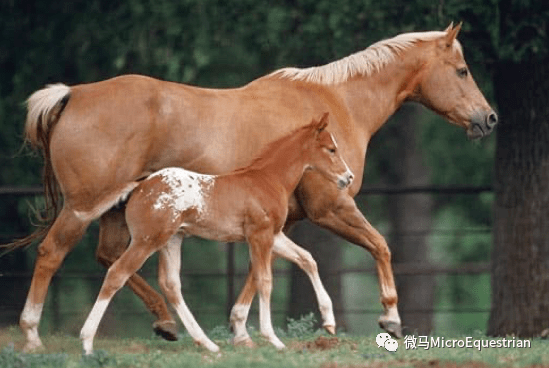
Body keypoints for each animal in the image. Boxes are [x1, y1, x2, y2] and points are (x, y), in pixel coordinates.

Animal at [79, 114, 354, 354]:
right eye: (331, 149)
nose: (348, 177)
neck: (267, 179)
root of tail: (139, 187)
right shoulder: (260, 235)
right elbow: (265, 280)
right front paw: (273, 339)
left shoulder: (274, 236)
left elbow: (307, 259)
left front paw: (329, 322)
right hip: (147, 240)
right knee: (117, 273)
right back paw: (87, 343)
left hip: (171, 240)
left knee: (171, 284)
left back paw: (208, 344)